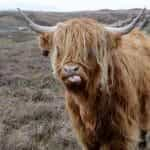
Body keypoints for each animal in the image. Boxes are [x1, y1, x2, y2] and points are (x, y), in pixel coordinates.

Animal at [17, 8, 150, 149]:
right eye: (59, 49)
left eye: (90, 49)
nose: (70, 70)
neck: (88, 101)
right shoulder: (85, 134)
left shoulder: (120, 134)